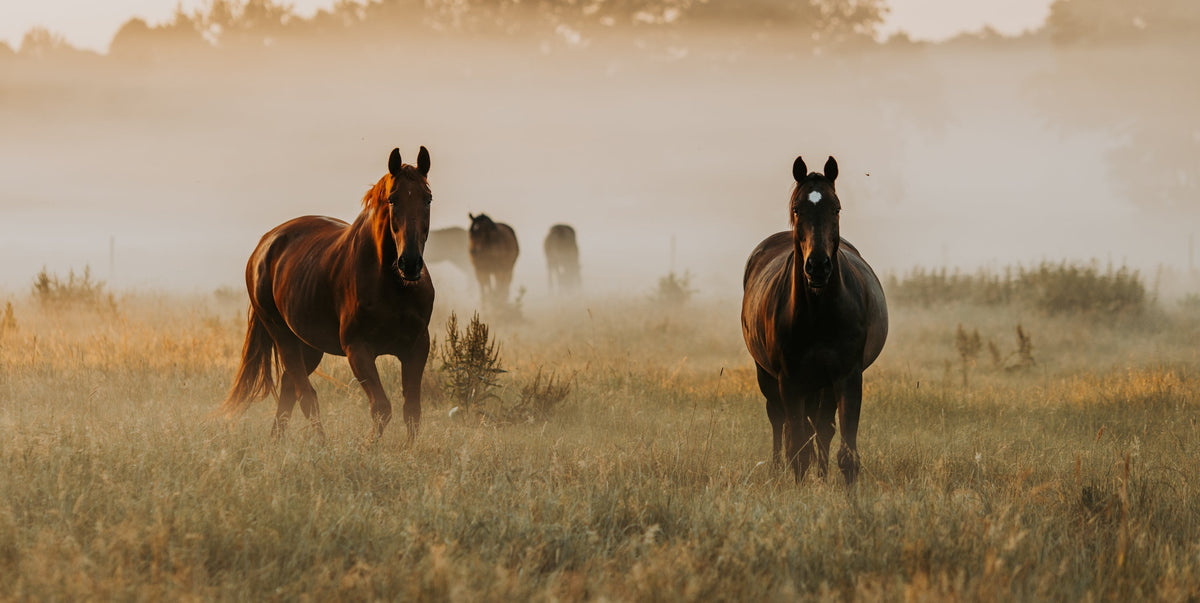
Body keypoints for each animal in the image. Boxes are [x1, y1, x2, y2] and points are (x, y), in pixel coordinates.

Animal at [220, 146, 435, 444]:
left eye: (428, 199)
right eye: (393, 199)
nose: (410, 263)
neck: (392, 285)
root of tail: (265, 244)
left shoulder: (417, 346)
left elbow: (412, 411)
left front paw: (407, 451)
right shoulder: (358, 349)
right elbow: (381, 407)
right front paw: (367, 448)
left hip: (309, 343)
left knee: (289, 386)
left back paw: (277, 441)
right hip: (282, 334)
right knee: (305, 395)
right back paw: (320, 445)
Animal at [741, 155, 888, 484]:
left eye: (836, 208)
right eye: (798, 208)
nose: (818, 266)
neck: (819, 314)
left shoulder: (847, 376)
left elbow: (844, 450)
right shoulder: (789, 380)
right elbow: (797, 446)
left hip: (823, 385)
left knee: (821, 428)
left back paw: (820, 474)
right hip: (768, 375)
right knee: (778, 420)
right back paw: (777, 470)